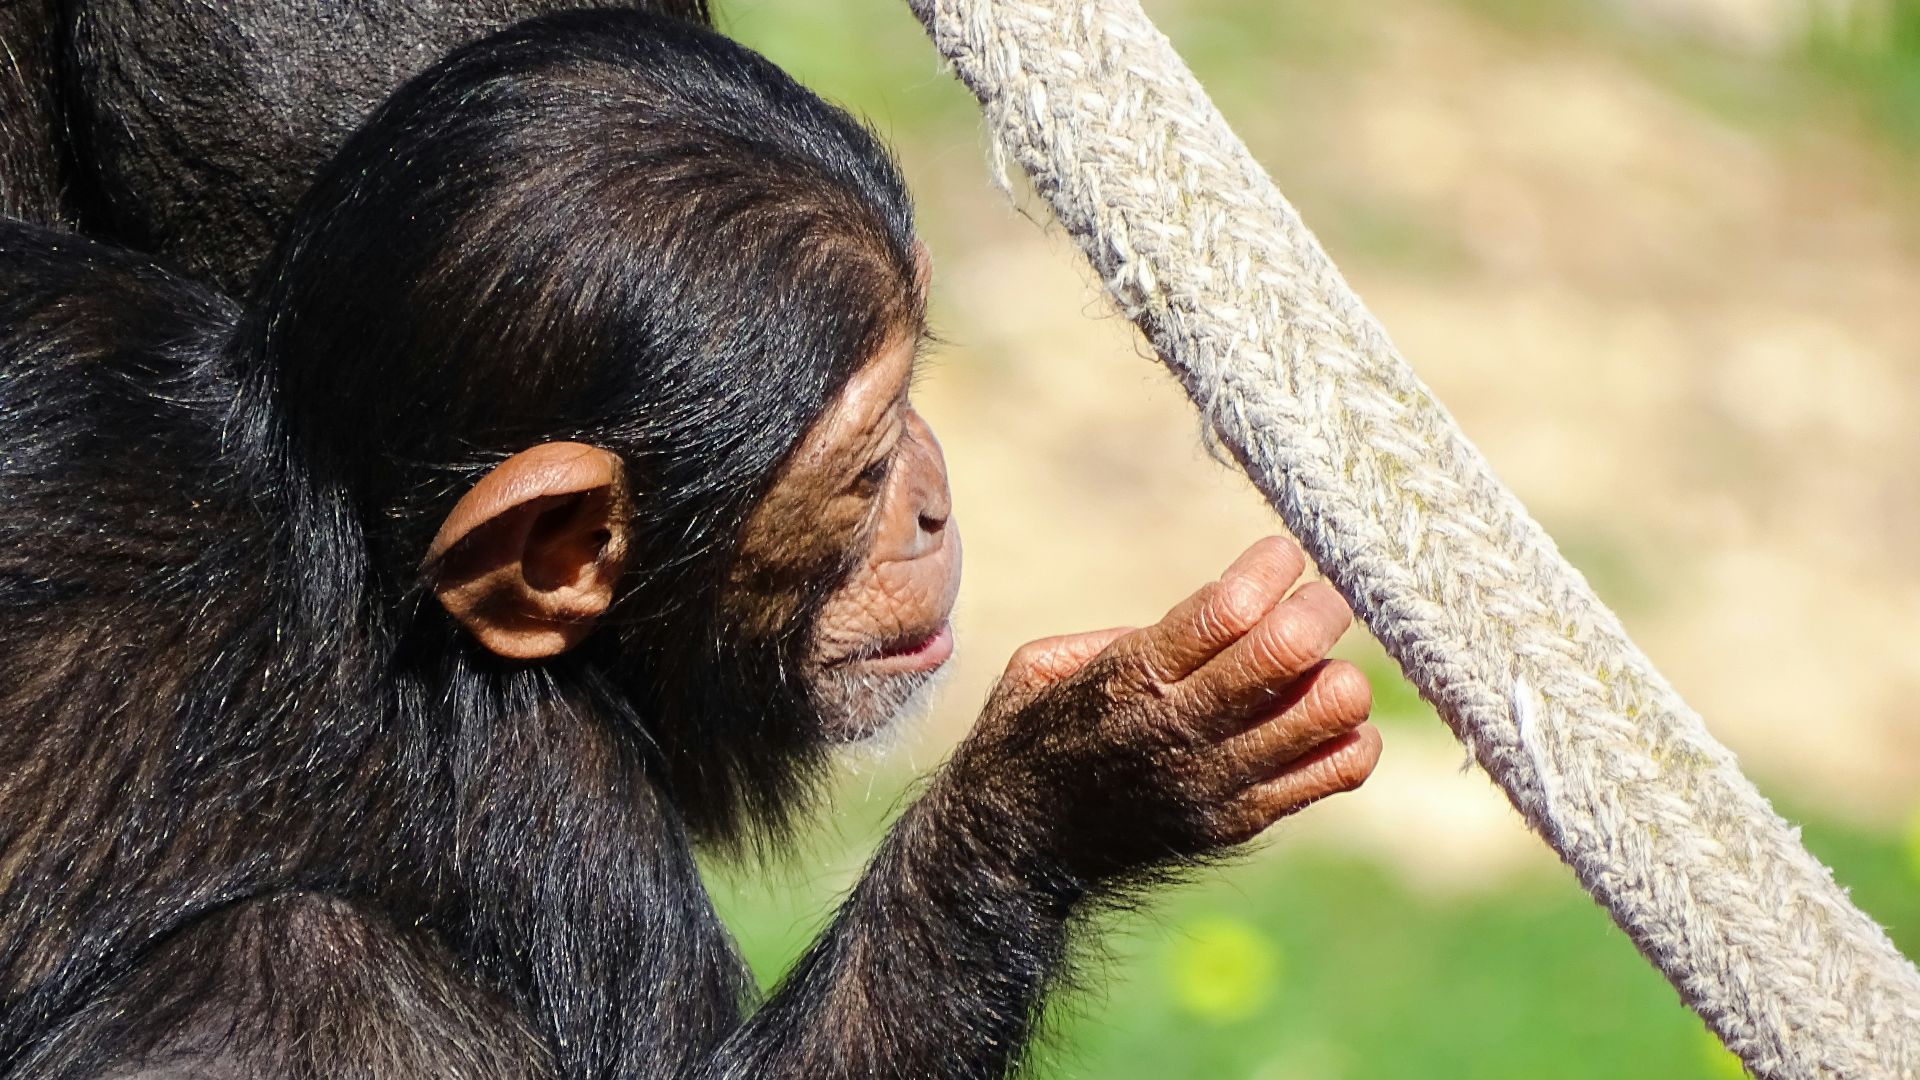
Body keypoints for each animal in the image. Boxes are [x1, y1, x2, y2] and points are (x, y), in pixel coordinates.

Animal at [0, 9, 1381, 1078]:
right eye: (866, 464)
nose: (934, 499)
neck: (324, 503)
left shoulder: (64, 331)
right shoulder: (571, 814)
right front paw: (1087, 769)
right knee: (304, 973)